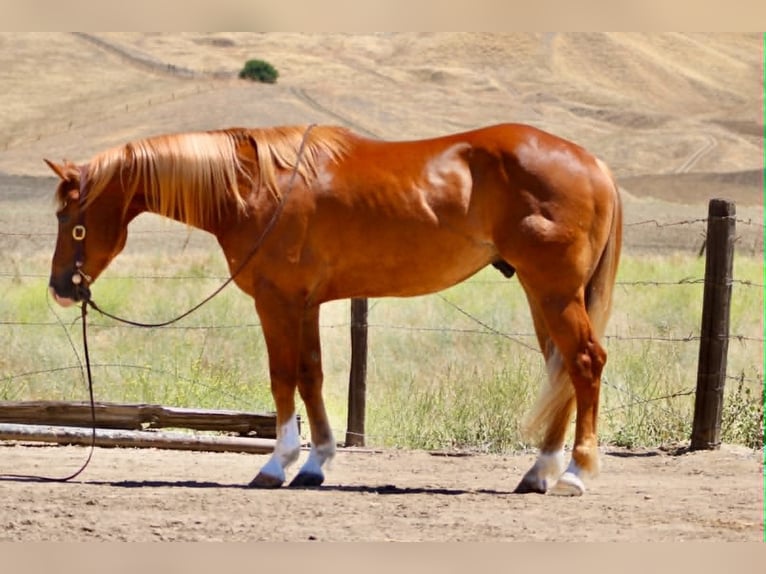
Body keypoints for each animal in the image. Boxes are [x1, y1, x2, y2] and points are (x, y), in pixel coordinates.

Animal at [45, 122, 622, 495]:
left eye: (69, 217)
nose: (60, 288)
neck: (257, 186)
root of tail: (594, 163)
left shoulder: (277, 301)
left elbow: (282, 377)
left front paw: (277, 465)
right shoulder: (305, 304)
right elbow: (311, 375)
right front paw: (315, 464)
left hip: (554, 291)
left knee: (584, 362)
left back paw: (574, 474)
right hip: (541, 293)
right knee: (561, 371)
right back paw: (539, 472)